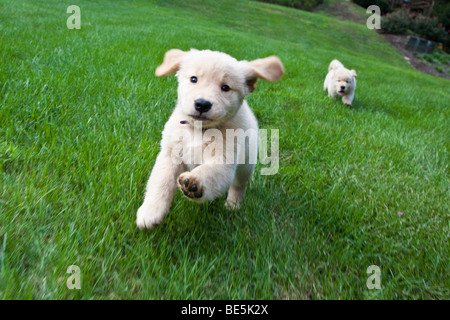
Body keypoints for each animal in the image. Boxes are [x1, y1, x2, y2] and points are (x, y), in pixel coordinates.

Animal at [137, 48, 284, 229]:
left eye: (225, 87)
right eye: (194, 79)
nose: (202, 104)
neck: (198, 131)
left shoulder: (224, 161)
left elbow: (209, 172)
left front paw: (195, 182)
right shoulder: (170, 155)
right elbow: (160, 183)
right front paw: (150, 212)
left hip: (246, 167)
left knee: (238, 186)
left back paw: (233, 205)